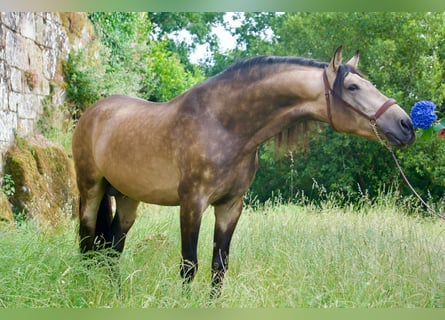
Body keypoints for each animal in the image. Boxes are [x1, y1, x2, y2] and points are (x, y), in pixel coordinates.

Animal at [71, 45, 414, 296]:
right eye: (353, 86)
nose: (406, 124)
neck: (224, 124)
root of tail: (93, 113)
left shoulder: (230, 206)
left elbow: (218, 266)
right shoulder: (192, 203)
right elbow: (189, 265)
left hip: (127, 198)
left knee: (112, 248)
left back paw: (116, 295)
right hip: (91, 189)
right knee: (87, 241)